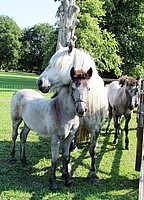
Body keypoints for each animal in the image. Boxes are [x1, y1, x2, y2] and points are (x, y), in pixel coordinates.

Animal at [36, 47, 108, 184]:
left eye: (58, 64)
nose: (40, 83)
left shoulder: (96, 128)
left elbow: (92, 149)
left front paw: (93, 173)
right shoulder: (72, 128)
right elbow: (67, 151)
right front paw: (67, 168)